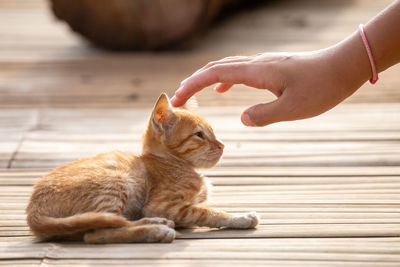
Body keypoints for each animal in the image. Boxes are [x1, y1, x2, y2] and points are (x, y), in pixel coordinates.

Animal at [28, 93, 260, 244]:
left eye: (212, 132)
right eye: (199, 135)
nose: (222, 146)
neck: (172, 162)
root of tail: (32, 210)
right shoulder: (164, 205)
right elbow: (208, 212)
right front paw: (241, 217)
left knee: (108, 223)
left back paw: (155, 223)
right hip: (116, 182)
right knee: (97, 233)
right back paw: (155, 230)